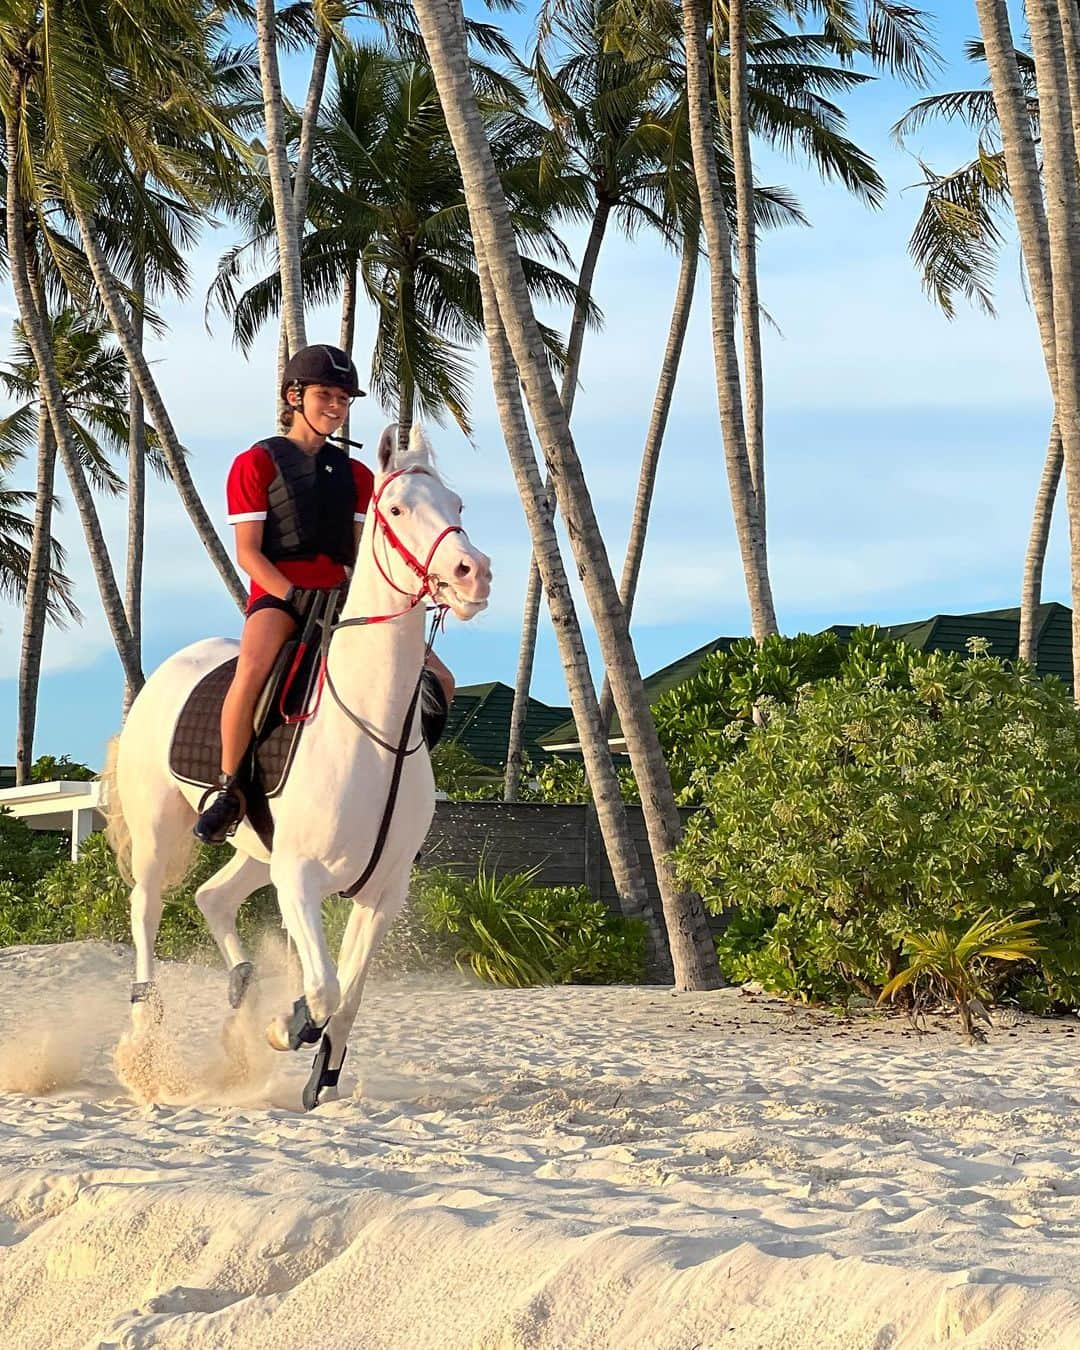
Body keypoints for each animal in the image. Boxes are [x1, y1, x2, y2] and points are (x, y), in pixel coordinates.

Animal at [103, 429, 491, 1107]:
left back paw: (242, 990)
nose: (475, 574)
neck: (373, 733)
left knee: (211, 897)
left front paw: (321, 1072)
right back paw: (148, 1041)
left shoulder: (383, 891)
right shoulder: (299, 877)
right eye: (396, 510)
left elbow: (350, 995)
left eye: (458, 505)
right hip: (161, 833)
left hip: (257, 850)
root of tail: (166, 673)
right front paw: (287, 1027)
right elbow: (325, 986)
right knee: (146, 908)